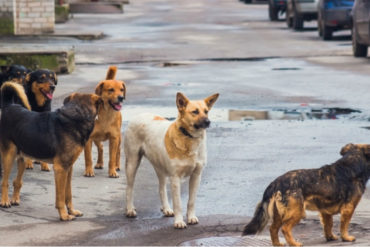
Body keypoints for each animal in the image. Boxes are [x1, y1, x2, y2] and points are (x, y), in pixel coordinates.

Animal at [0, 82, 102, 221]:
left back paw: (15, 199)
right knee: (4, 182)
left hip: (23, 157)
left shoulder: (68, 168)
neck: (77, 114)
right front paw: (64, 215)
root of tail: (9, 106)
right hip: (8, 155)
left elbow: (68, 194)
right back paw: (4, 201)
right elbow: (60, 197)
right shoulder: (60, 169)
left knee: (17, 181)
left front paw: (72, 211)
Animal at [123, 91, 218, 229]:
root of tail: (139, 115)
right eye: (195, 112)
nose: (208, 122)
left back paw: (166, 208)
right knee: (129, 188)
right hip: (132, 163)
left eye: (206, 111)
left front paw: (191, 217)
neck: (188, 137)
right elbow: (178, 204)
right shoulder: (175, 178)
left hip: (160, 167)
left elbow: (191, 201)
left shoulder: (196, 176)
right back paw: (130, 209)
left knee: (161, 188)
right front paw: (179, 221)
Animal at [241, 144, 370, 246]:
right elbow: (344, 225)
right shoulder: (348, 208)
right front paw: (346, 238)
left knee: (273, 228)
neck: (352, 164)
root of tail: (275, 183)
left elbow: (328, 225)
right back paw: (294, 243)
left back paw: (277, 244)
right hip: (298, 212)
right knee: (285, 228)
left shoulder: (325, 211)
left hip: (279, 214)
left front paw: (330, 237)